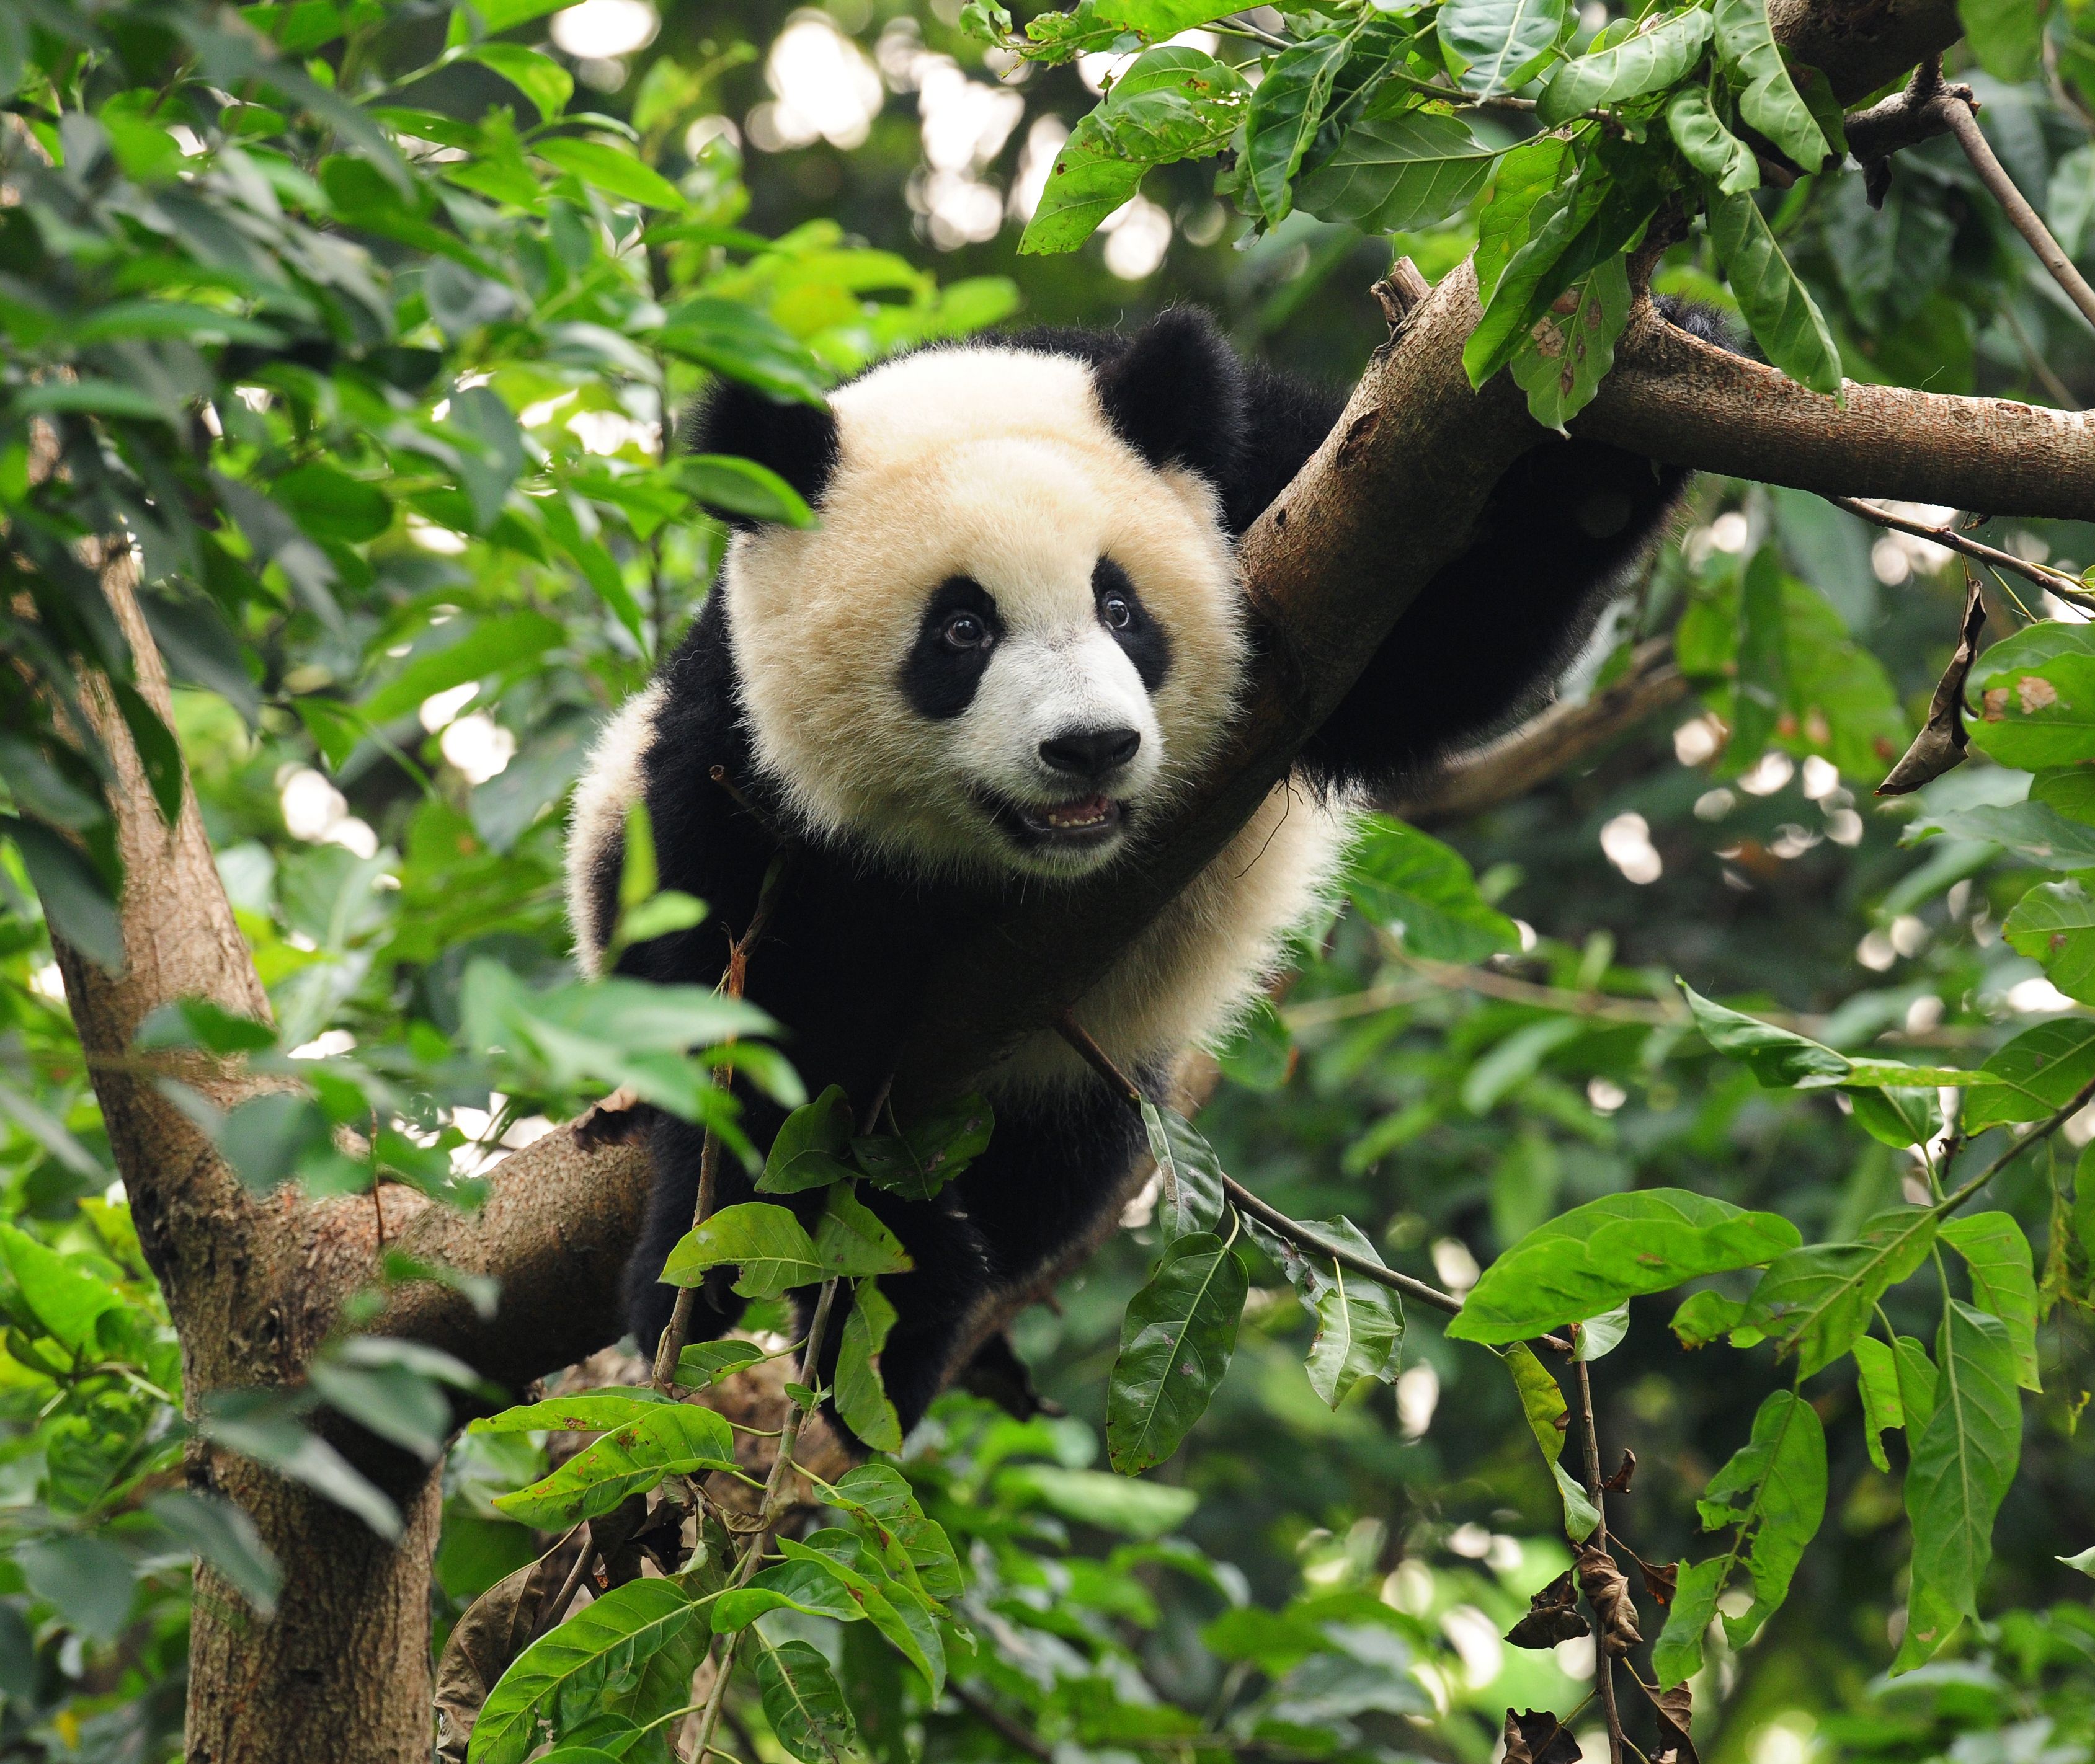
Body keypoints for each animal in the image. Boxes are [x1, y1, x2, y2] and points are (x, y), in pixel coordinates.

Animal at [568, 304, 1718, 1439]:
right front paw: (803, 1270)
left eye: (1119, 608)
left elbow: (1433, 650)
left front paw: (1628, 407)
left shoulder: (1287, 496)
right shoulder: (736, 758)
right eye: (960, 629)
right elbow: (755, 1019)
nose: (1089, 748)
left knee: (1051, 1175)